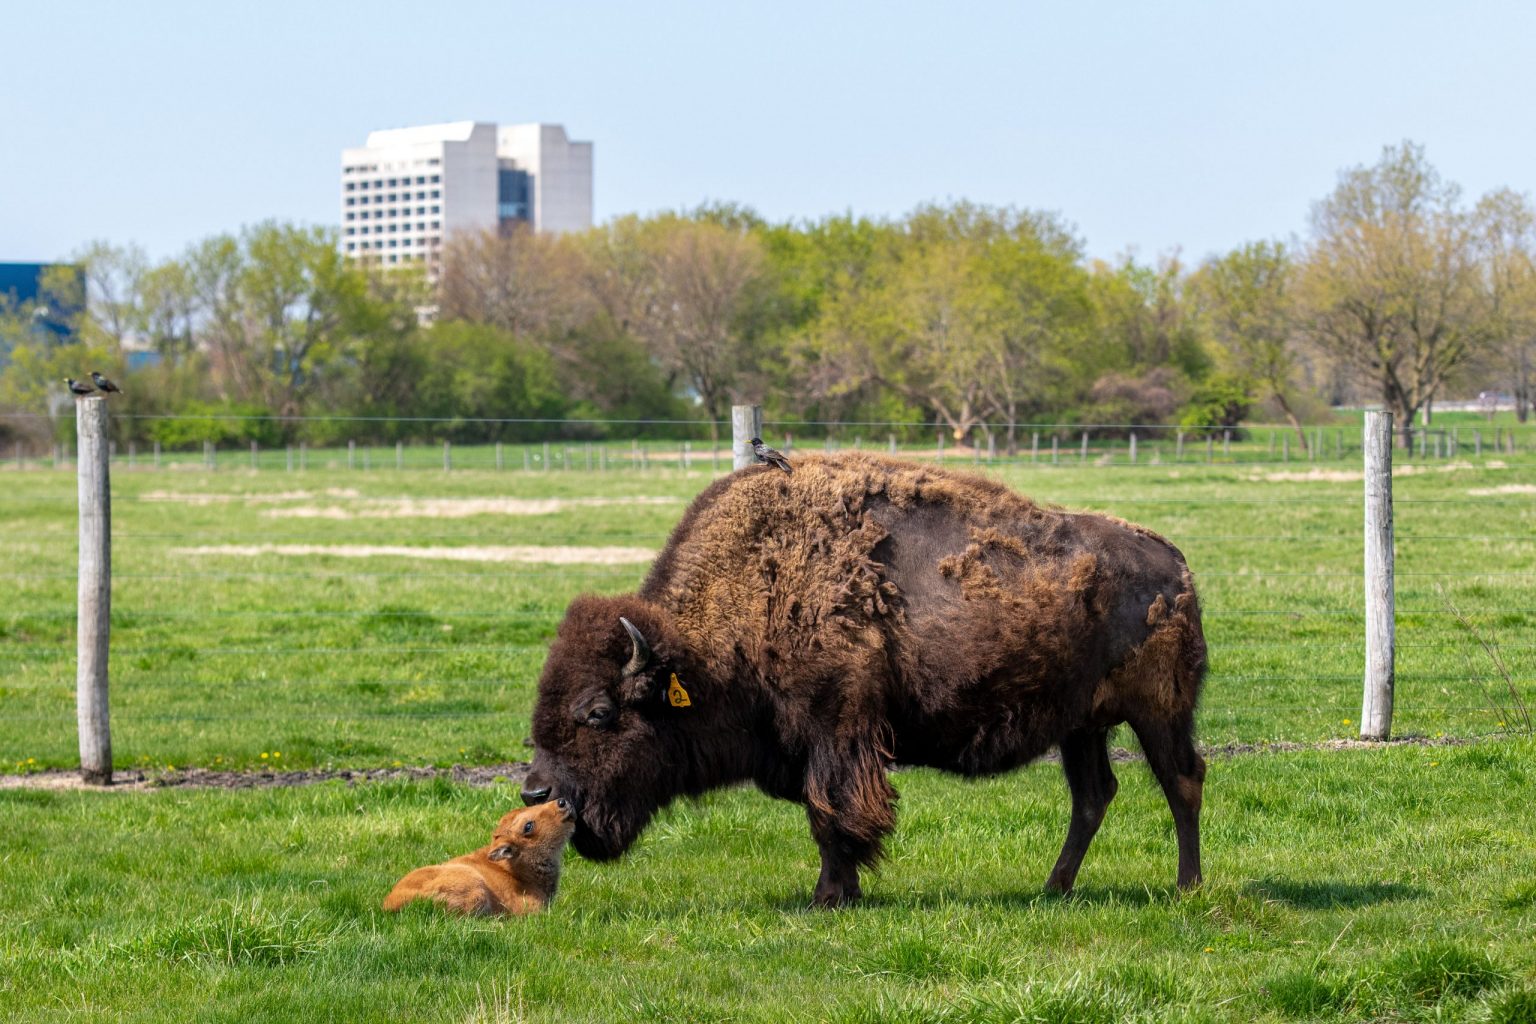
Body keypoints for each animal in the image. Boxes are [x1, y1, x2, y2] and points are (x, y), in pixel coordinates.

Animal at [523, 454, 1207, 907]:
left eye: (598, 712)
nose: (535, 793)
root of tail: (1176, 564)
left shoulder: (837, 730)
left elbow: (830, 813)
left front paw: (830, 897)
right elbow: (824, 813)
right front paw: (839, 890)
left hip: (1160, 711)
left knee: (1182, 780)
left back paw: (1186, 887)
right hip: (1080, 724)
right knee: (1093, 795)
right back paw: (1054, 888)